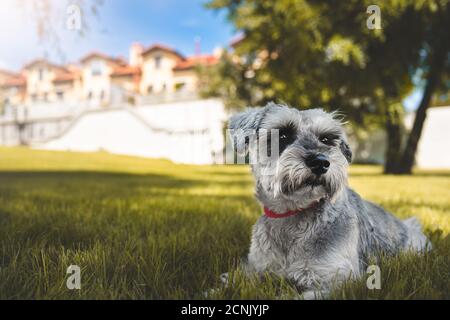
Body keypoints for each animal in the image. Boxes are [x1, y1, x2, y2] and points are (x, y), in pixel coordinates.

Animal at [227, 103, 430, 300]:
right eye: (282, 134)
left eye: (326, 139)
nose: (320, 162)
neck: (293, 215)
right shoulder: (254, 268)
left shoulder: (337, 281)